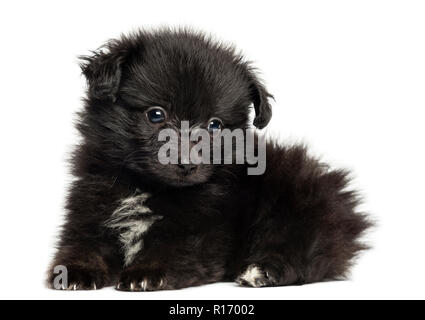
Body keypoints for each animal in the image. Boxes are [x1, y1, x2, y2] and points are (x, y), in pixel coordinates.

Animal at [48, 28, 370, 292]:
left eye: (215, 125)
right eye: (156, 114)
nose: (187, 164)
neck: (146, 187)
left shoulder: (204, 230)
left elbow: (174, 246)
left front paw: (147, 272)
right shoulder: (90, 206)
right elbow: (83, 242)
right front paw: (74, 270)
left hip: (298, 207)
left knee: (305, 256)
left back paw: (261, 271)